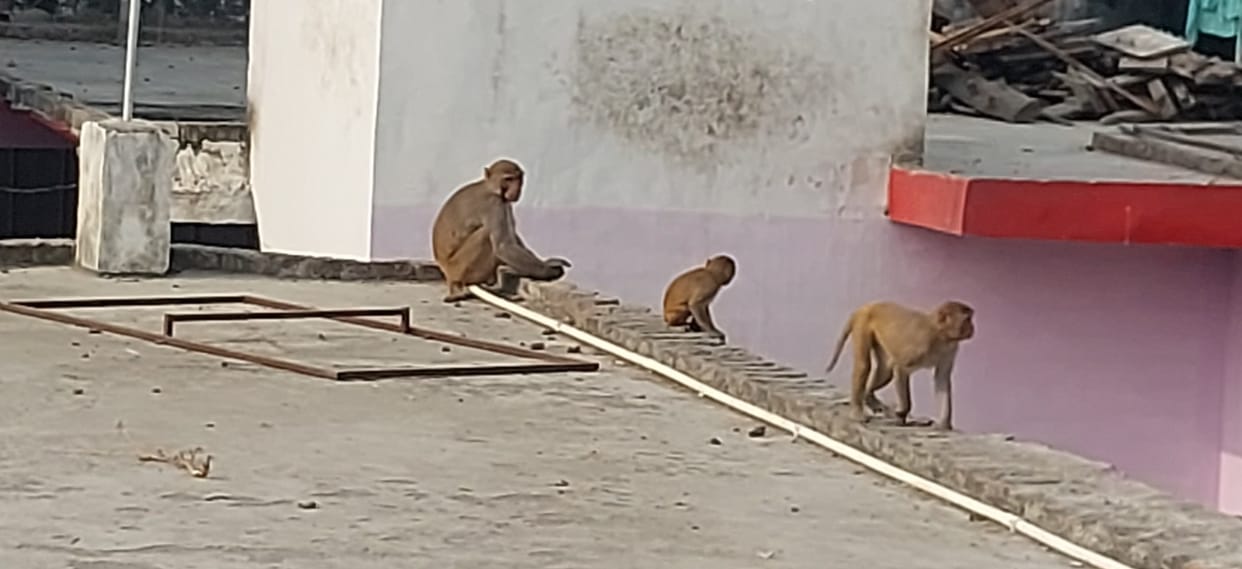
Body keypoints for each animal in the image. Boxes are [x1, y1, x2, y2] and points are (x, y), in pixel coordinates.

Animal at [430, 159, 572, 303]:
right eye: (508, 179)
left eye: (518, 178)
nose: (516, 189)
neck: (490, 187)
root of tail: (446, 272)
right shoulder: (494, 203)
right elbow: (503, 246)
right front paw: (549, 271)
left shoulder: (504, 203)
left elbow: (513, 236)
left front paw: (547, 262)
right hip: (460, 268)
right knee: (486, 234)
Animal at [825, 301, 975, 431]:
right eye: (967, 319)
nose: (973, 328)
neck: (940, 335)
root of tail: (867, 306)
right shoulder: (920, 345)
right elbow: (900, 369)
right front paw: (902, 412)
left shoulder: (950, 349)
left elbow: (941, 379)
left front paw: (944, 425)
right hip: (862, 324)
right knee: (864, 365)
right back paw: (857, 412)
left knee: (885, 371)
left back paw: (870, 398)